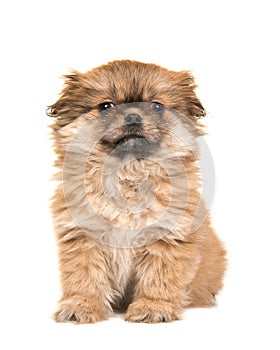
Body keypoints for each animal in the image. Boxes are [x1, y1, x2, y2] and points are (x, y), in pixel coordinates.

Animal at [47, 59, 226, 322]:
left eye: (156, 106)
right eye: (106, 106)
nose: (133, 116)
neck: (129, 174)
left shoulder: (166, 237)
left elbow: (159, 277)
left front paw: (154, 306)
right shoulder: (83, 237)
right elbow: (85, 276)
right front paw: (82, 304)